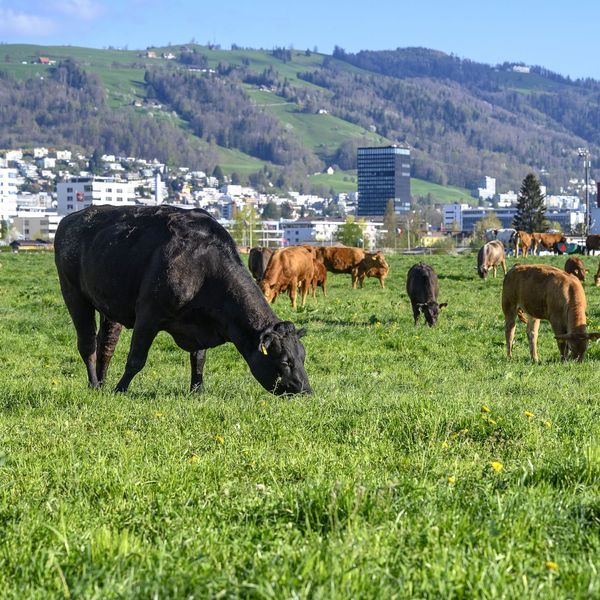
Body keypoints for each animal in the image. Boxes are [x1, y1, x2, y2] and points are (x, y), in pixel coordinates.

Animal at [53, 204, 312, 396]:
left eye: (302, 357)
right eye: (285, 361)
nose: (306, 391)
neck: (204, 266)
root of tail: (72, 218)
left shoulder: (199, 323)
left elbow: (199, 359)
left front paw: (197, 390)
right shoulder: (148, 315)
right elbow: (136, 359)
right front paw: (121, 390)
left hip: (109, 304)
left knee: (106, 344)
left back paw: (102, 383)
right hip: (73, 294)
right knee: (87, 344)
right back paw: (95, 385)